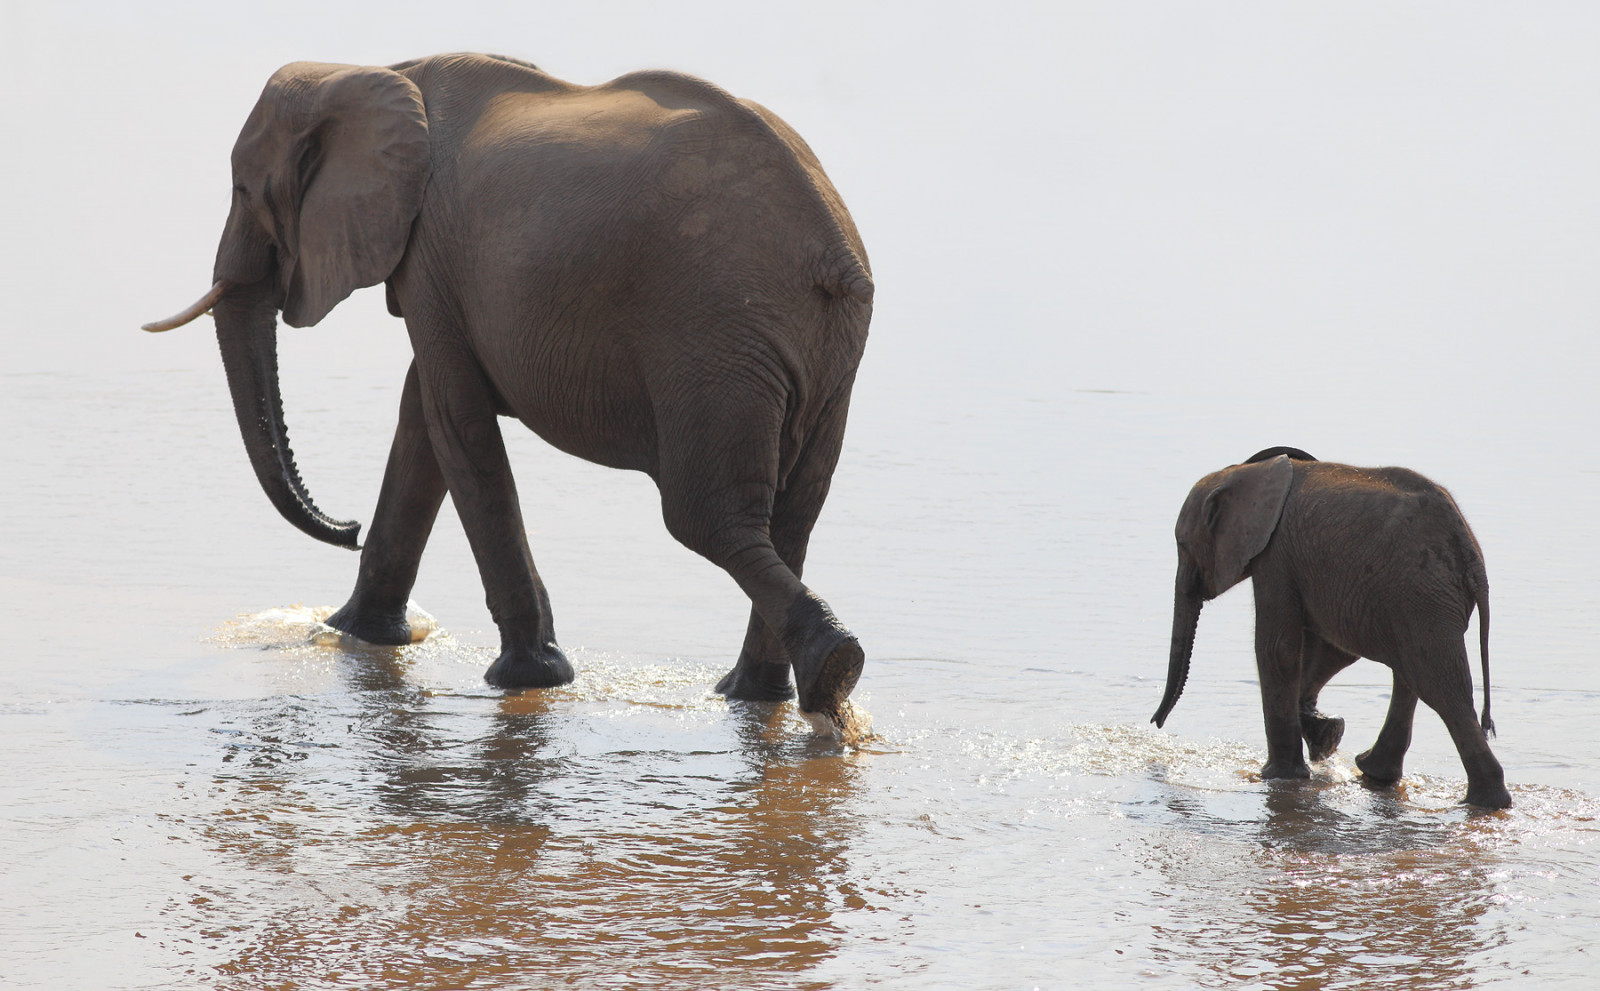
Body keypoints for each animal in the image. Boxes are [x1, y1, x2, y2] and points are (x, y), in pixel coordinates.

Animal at [144, 53, 873, 731]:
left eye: (243, 189)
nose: (345, 528)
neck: (368, 73)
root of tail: (830, 250)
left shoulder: (431, 248)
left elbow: (453, 419)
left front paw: (527, 676)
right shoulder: (435, 262)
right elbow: (423, 416)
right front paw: (351, 635)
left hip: (713, 335)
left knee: (706, 517)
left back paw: (822, 672)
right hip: (820, 353)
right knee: (792, 513)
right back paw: (763, 693)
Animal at [1151, 447, 1511, 809]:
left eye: (1182, 545)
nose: (1156, 723)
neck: (1245, 472)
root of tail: (1470, 555)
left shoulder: (1276, 555)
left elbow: (1277, 648)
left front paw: (1279, 774)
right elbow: (1332, 649)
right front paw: (1325, 734)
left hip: (1422, 593)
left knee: (1440, 687)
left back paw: (1486, 800)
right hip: (1415, 599)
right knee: (1413, 675)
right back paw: (1378, 773)